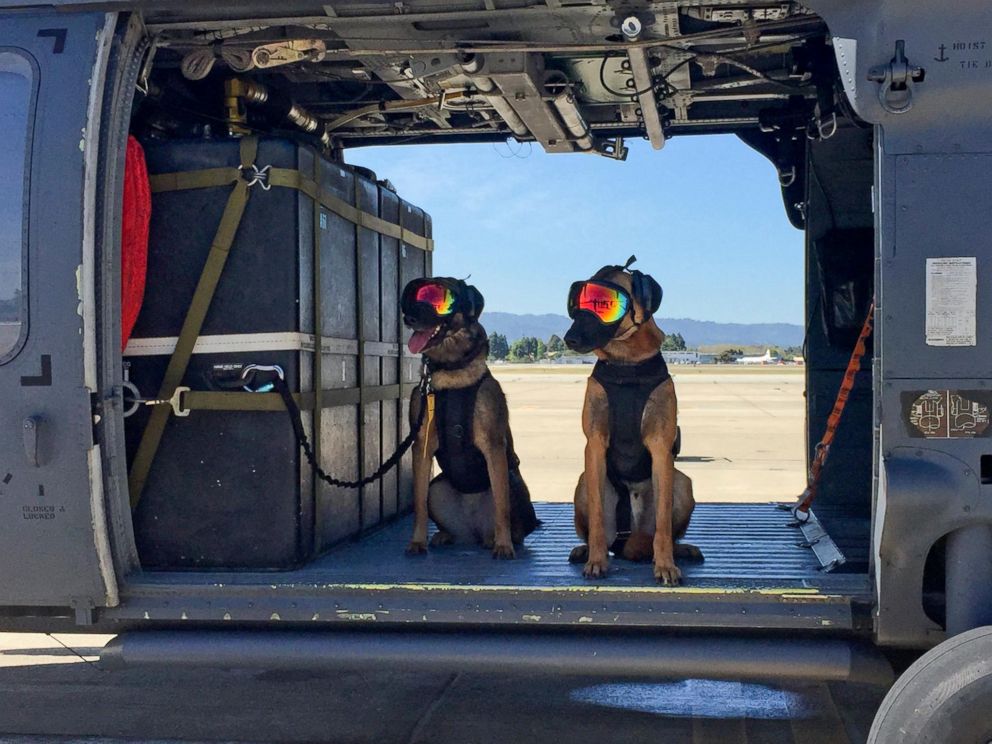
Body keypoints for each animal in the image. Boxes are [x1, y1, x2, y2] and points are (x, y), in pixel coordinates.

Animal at [400, 280, 540, 560]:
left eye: (438, 299)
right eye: (413, 297)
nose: (408, 318)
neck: (451, 372)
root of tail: (474, 530)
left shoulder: (493, 447)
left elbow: (501, 506)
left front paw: (504, 546)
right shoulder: (421, 446)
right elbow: (418, 505)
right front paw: (417, 541)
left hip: (512, 480)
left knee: (507, 515)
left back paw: (498, 539)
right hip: (437, 488)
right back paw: (445, 535)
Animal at [564, 258, 696, 584]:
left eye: (606, 304)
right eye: (578, 302)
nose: (570, 338)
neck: (626, 364)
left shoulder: (661, 449)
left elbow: (663, 524)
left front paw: (665, 565)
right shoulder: (595, 446)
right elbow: (598, 521)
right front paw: (597, 561)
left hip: (683, 483)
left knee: (667, 530)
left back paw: (681, 550)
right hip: (583, 483)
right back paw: (585, 551)